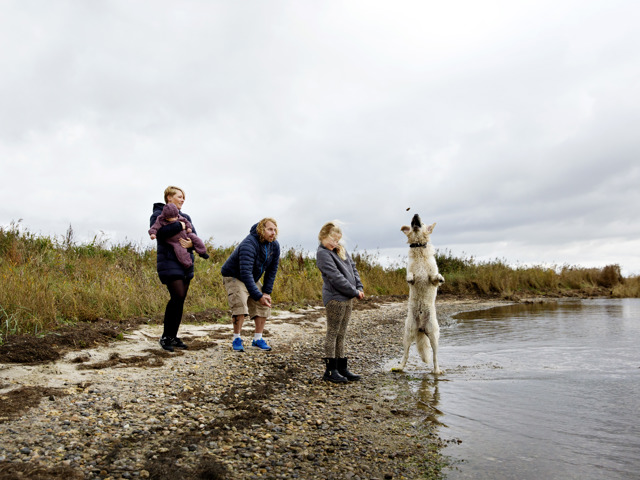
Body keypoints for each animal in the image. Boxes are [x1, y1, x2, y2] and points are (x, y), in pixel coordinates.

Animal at [392, 214, 442, 376]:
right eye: (412, 219)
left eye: (423, 221)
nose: (415, 214)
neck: (419, 247)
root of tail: (421, 328)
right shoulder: (411, 271)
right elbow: (410, 275)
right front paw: (409, 277)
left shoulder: (432, 278)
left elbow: (434, 277)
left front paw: (440, 278)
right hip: (408, 334)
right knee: (405, 354)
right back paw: (399, 368)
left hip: (433, 335)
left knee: (435, 356)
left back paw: (437, 370)